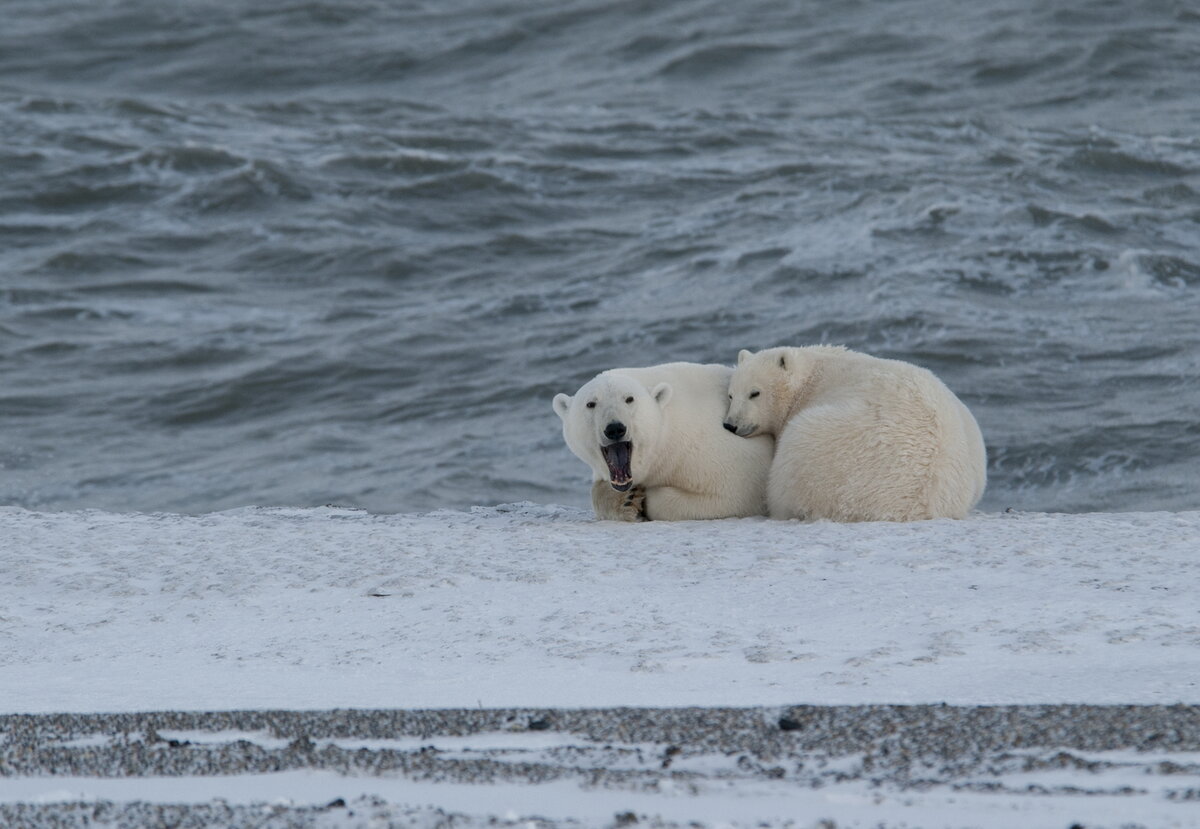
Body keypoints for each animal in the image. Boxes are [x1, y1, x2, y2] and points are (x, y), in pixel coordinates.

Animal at [549, 362, 768, 518]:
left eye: (629, 399)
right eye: (591, 404)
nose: (615, 428)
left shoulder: (723, 456)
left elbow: (731, 495)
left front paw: (641, 500)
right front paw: (626, 501)